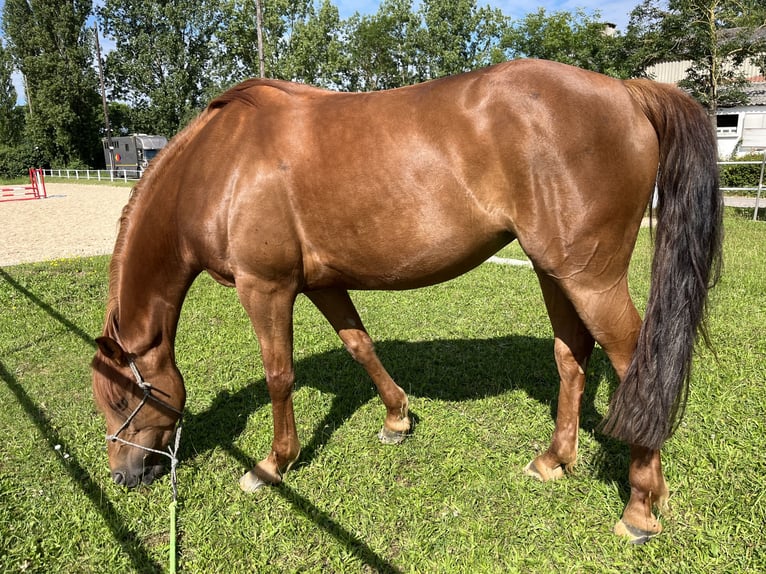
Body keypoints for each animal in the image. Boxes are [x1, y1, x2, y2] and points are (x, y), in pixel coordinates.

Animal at [93, 59, 724, 544]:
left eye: (119, 397)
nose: (123, 475)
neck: (219, 166)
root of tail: (626, 91)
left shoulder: (264, 287)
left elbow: (279, 374)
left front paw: (272, 465)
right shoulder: (322, 283)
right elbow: (360, 345)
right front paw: (397, 419)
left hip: (590, 278)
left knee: (635, 364)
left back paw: (640, 507)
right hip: (557, 270)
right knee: (572, 355)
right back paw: (554, 460)